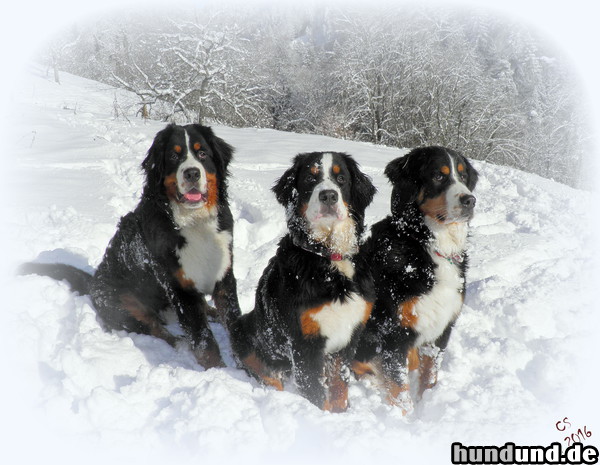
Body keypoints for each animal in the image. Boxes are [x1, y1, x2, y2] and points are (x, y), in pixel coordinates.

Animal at [21, 124, 241, 370]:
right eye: (174, 156)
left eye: (202, 153)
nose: (192, 173)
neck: (193, 221)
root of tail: (93, 281)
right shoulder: (179, 286)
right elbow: (203, 339)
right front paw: (219, 371)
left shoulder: (225, 275)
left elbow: (234, 322)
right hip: (123, 307)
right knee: (155, 329)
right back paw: (179, 342)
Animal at [230, 151, 376, 410]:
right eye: (310, 178)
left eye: (341, 178)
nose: (328, 195)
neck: (328, 257)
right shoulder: (304, 343)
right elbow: (315, 392)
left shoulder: (350, 336)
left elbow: (339, 386)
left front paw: (340, 412)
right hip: (241, 331)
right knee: (267, 374)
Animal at [352, 146, 478, 414]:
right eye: (438, 176)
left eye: (463, 177)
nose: (470, 200)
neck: (426, 245)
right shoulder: (392, 334)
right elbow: (400, 391)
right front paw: (404, 419)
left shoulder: (442, 329)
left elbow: (429, 377)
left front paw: (427, 405)